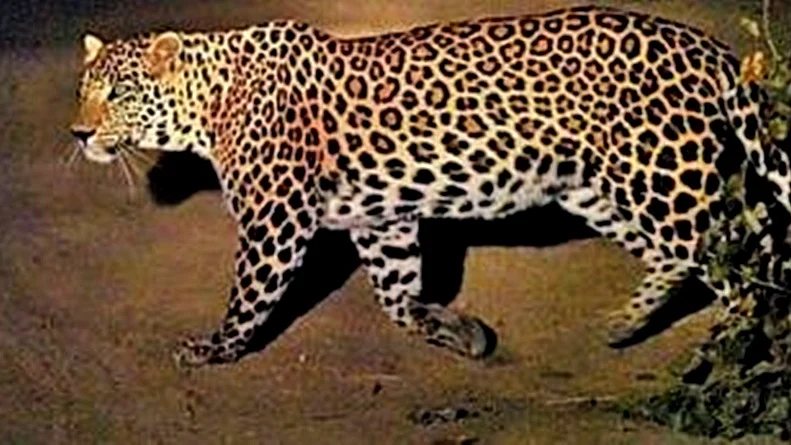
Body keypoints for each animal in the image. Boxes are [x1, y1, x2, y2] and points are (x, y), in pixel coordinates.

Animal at [70, 5, 791, 367]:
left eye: (119, 94)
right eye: (84, 89)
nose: (78, 132)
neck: (208, 102)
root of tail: (706, 47)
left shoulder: (277, 220)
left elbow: (250, 293)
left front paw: (216, 347)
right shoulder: (380, 219)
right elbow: (396, 295)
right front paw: (455, 329)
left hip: (661, 176)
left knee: (739, 258)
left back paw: (731, 348)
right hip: (600, 187)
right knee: (687, 256)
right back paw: (623, 324)